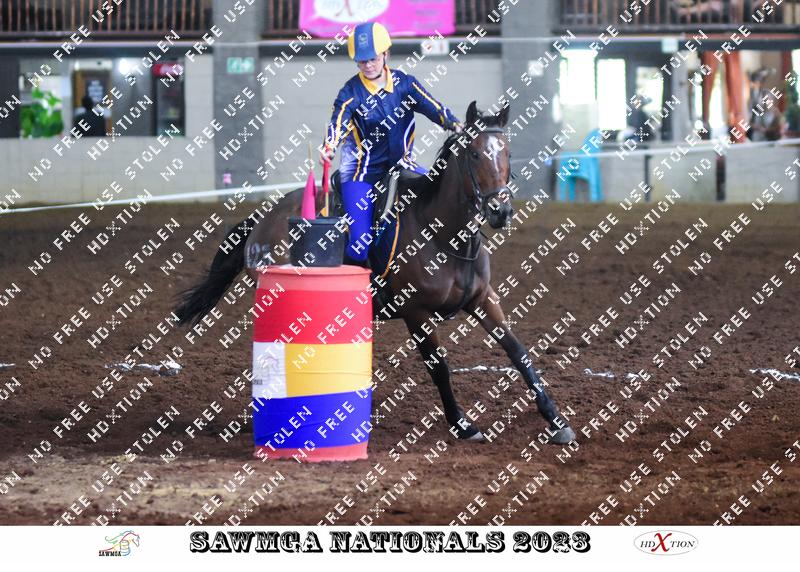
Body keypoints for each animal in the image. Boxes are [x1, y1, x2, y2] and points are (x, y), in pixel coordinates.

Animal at [175, 101, 576, 445]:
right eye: (474, 153)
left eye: (505, 152)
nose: (500, 211)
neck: (440, 233)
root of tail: (264, 218)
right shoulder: (416, 313)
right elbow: (439, 368)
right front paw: (463, 425)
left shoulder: (483, 299)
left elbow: (518, 352)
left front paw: (557, 420)